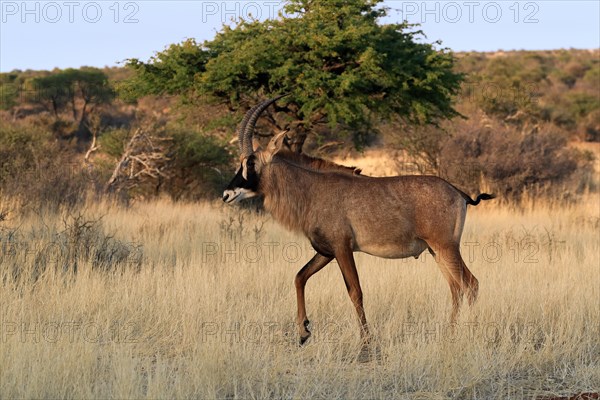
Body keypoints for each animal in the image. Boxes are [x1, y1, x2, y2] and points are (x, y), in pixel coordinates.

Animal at [223, 97, 494, 350]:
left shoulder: (343, 249)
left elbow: (355, 291)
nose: (226, 194)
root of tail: (458, 192)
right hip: (435, 251)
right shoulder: (326, 251)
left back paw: (468, 333)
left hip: (446, 247)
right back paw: (450, 334)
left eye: (250, 163)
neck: (312, 189)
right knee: (456, 288)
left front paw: (366, 342)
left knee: (470, 284)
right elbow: (300, 277)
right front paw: (303, 332)